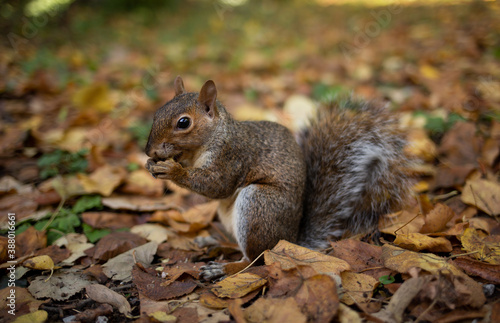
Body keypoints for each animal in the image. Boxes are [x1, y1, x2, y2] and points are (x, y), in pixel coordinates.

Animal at [146, 76, 412, 280]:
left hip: (259, 204)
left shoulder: (233, 157)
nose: (149, 151)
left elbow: (217, 185)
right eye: (157, 112)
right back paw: (213, 243)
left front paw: (173, 171)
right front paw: (154, 164)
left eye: (183, 122)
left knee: (257, 258)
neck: (211, 139)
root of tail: (290, 240)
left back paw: (223, 268)